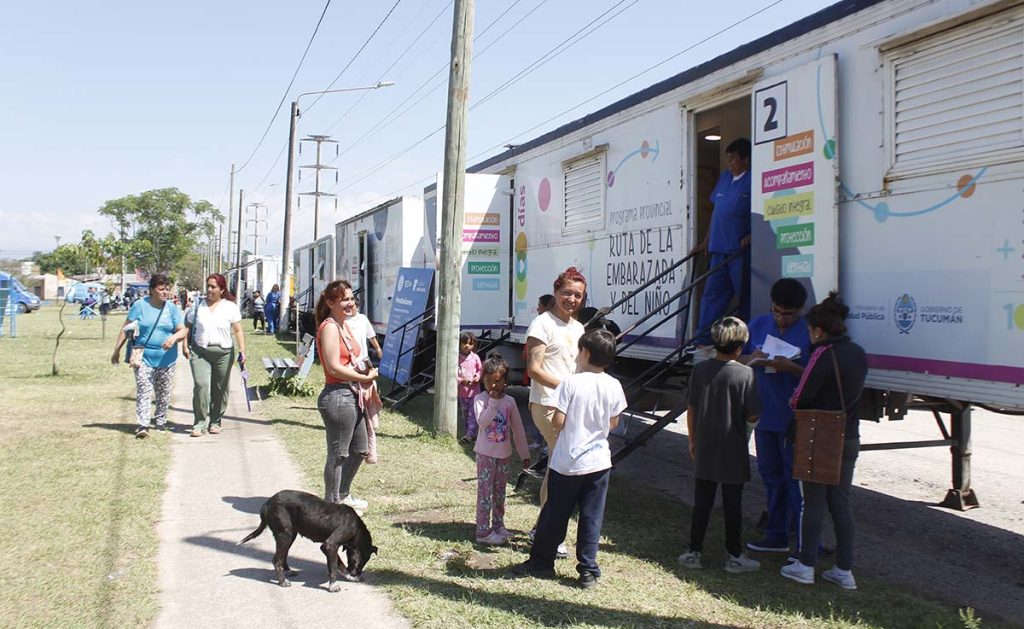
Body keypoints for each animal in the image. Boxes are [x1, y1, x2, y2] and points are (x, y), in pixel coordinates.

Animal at [239, 490, 378, 592]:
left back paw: (288, 571)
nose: (358, 573)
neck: (357, 528)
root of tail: (268, 503)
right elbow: (334, 567)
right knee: (276, 560)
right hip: (285, 535)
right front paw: (333, 586)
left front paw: (349, 577)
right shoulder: (330, 545)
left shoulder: (328, 547)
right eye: (361, 562)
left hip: (290, 535)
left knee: (282, 557)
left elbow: (338, 565)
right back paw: (282, 582)